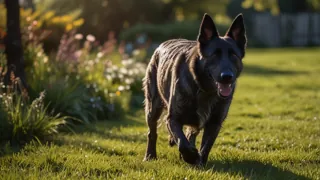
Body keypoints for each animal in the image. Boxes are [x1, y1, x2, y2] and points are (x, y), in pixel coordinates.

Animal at [143, 13, 248, 166]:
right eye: (214, 55)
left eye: (233, 55)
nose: (227, 77)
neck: (205, 90)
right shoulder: (172, 119)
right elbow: (181, 142)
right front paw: (191, 157)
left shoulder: (215, 123)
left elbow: (205, 146)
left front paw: (199, 162)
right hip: (153, 106)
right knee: (152, 132)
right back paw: (150, 155)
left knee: (191, 133)